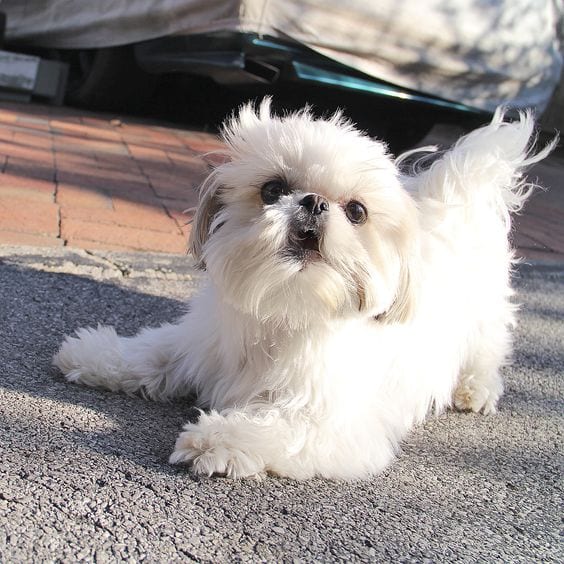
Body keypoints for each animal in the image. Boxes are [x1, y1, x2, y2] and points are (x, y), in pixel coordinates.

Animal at [54, 99, 556, 478]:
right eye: (273, 189)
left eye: (356, 212)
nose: (313, 203)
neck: (287, 307)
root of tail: (459, 195)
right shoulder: (199, 343)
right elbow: (152, 353)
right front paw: (94, 354)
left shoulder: (332, 421)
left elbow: (281, 424)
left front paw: (221, 438)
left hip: (484, 320)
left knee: (487, 352)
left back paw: (475, 389)